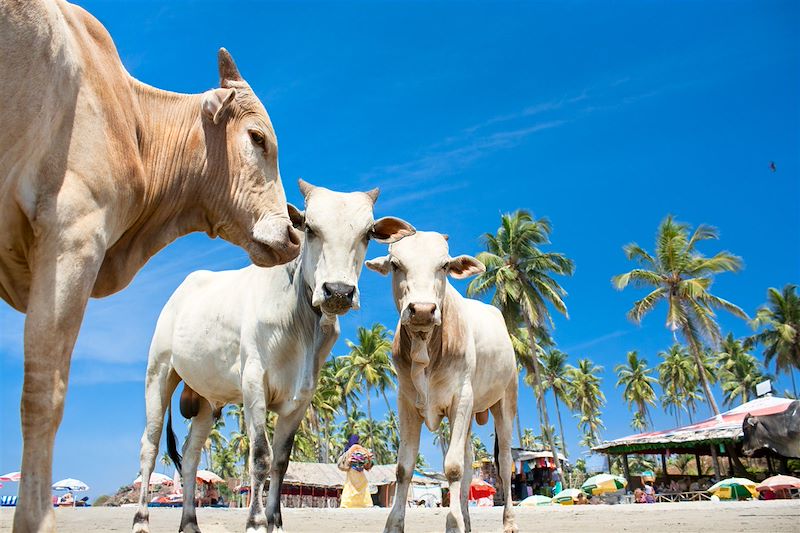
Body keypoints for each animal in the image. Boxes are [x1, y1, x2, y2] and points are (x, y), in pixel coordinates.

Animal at [132, 181, 416, 528]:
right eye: (309, 228)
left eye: (367, 234)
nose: (338, 291)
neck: (301, 322)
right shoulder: (254, 384)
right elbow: (260, 457)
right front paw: (255, 521)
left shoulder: (302, 398)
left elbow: (281, 460)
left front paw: (275, 521)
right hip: (159, 372)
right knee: (149, 447)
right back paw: (141, 519)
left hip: (206, 400)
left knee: (190, 455)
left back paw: (189, 523)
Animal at [368, 232, 520, 532]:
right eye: (395, 264)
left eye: (444, 266)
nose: (422, 310)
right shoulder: (406, 403)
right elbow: (403, 468)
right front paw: (395, 524)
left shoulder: (460, 399)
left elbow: (453, 467)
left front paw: (454, 523)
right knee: (470, 460)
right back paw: (468, 519)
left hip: (505, 401)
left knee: (504, 462)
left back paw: (508, 521)